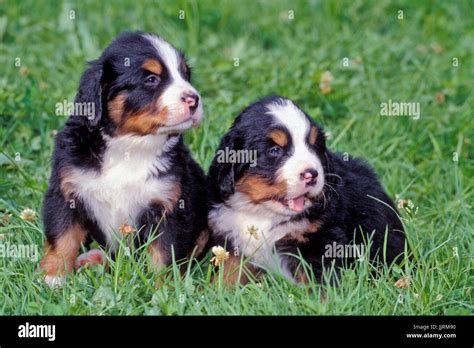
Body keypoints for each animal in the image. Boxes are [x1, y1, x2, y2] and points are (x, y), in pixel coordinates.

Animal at [41, 31, 208, 286]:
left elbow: (163, 253)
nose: (193, 99)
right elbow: (62, 238)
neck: (129, 146)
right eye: (151, 79)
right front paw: (54, 278)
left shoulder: (170, 203)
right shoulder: (65, 191)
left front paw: (162, 287)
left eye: (185, 75)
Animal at [209, 96, 406, 284]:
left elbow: (320, 283)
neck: (263, 213)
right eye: (275, 150)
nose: (312, 174)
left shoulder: (321, 241)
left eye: (314, 146)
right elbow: (229, 274)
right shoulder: (232, 239)